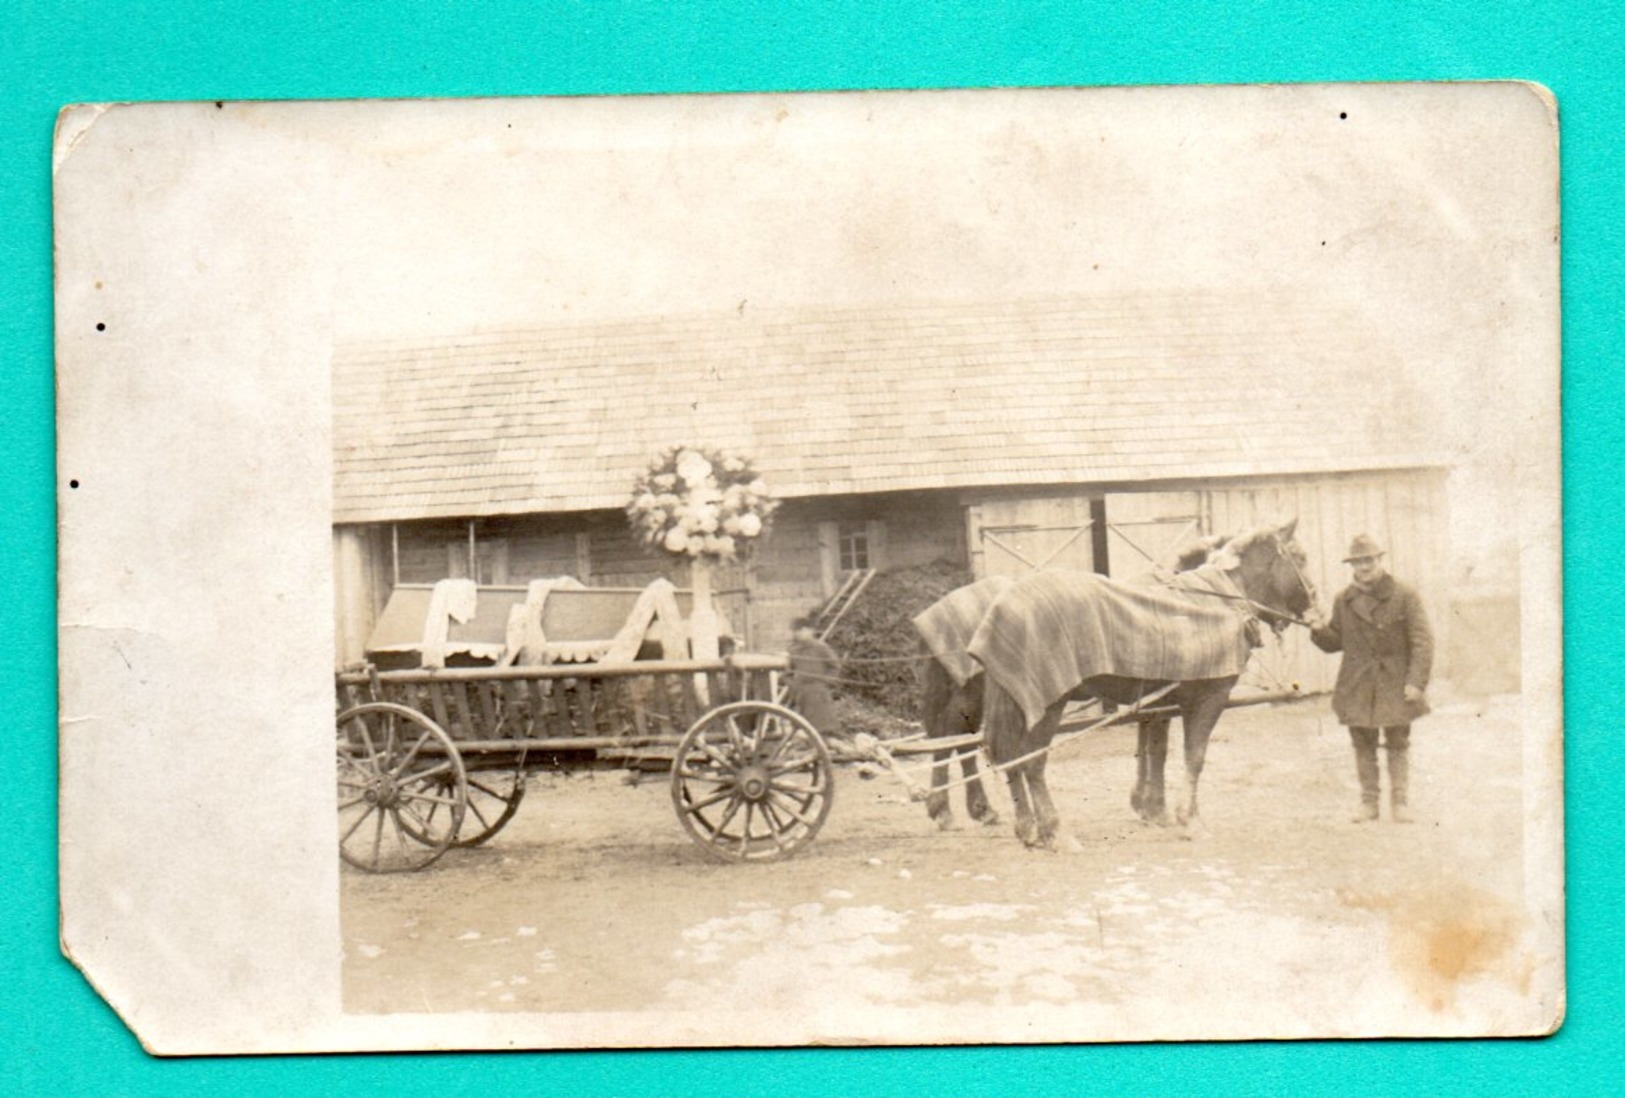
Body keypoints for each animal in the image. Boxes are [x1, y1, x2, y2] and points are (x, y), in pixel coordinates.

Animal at [916, 532, 1228, 831]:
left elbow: (1148, 743)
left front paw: (1144, 803)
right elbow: (1157, 747)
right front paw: (1154, 807)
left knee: (957, 738)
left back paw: (971, 809)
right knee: (952, 734)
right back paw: (953, 810)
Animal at [962, 516, 1319, 851]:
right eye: (1300, 557)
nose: (1315, 605)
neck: (1217, 599)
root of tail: (1003, 606)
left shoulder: (1159, 701)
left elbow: (1155, 750)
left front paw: (1153, 808)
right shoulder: (1207, 698)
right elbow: (1194, 757)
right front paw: (1189, 820)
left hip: (1021, 703)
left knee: (1011, 759)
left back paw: (1027, 830)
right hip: (1047, 705)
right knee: (1032, 763)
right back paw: (1056, 833)